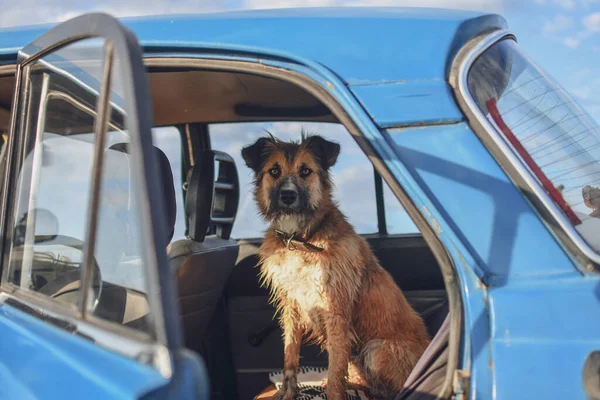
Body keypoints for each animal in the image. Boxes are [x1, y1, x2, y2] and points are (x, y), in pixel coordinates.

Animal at [241, 134, 428, 400]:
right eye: (274, 171)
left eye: (305, 171)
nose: (288, 196)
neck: (299, 240)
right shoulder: (291, 306)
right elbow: (290, 355)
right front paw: (288, 391)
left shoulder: (335, 311)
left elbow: (334, 375)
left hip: (377, 349)